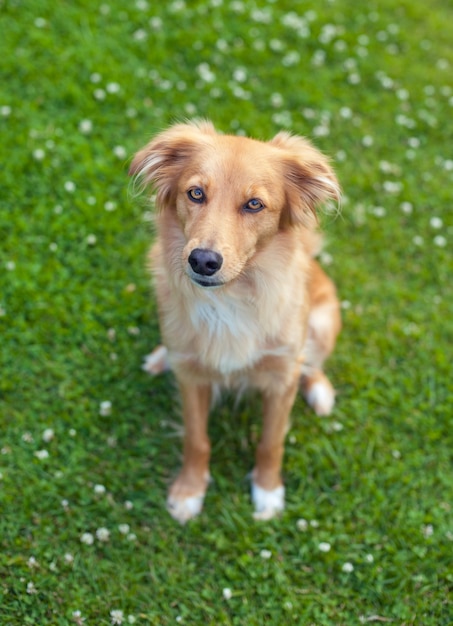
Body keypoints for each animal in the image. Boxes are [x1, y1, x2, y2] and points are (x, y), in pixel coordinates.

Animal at [128, 120, 340, 520]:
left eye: (254, 204)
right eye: (195, 193)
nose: (203, 260)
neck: (230, 298)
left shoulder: (281, 377)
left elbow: (271, 442)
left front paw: (268, 492)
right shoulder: (192, 378)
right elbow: (197, 440)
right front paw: (189, 491)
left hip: (324, 324)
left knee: (313, 363)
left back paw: (319, 389)